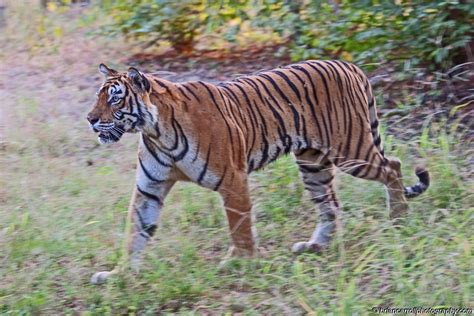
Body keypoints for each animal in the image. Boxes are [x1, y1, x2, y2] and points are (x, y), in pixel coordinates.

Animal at [86, 59, 430, 284]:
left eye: (115, 99)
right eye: (98, 96)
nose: (90, 119)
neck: (156, 130)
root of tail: (348, 65)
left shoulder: (232, 179)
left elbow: (239, 226)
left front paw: (240, 263)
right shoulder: (149, 188)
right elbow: (136, 232)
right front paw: (120, 274)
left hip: (351, 151)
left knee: (393, 166)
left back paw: (398, 219)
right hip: (313, 163)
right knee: (330, 205)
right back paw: (315, 246)